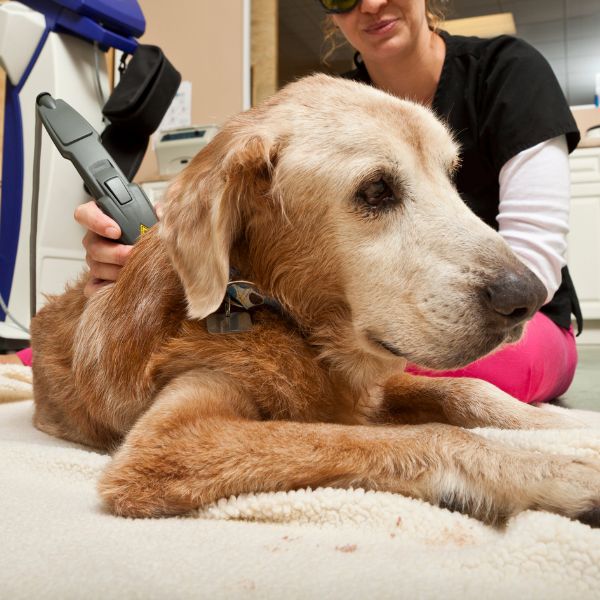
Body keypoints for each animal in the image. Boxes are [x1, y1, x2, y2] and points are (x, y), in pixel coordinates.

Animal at [31, 74, 600, 524]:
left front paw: (575, 428)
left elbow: (469, 391)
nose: (527, 295)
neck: (272, 311)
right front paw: (559, 471)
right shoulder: (166, 442)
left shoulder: (374, 386)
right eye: (376, 191)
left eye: (450, 176)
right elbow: (426, 435)